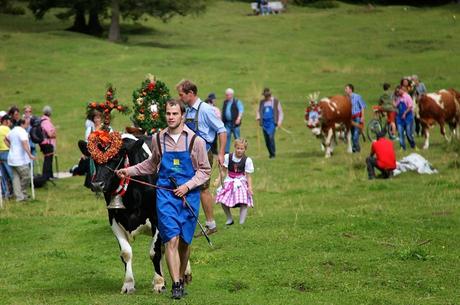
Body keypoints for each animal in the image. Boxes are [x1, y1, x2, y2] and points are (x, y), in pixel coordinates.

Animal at [88, 134, 190, 294]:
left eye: (116, 157)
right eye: (94, 158)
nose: (97, 184)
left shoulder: (158, 217)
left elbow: (154, 252)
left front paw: (159, 283)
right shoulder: (113, 219)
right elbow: (126, 253)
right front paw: (128, 284)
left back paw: (184, 274)